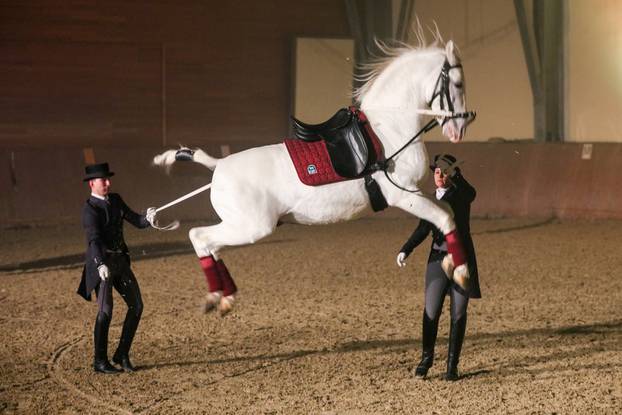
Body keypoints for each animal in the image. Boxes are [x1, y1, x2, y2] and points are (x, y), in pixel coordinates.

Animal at [155, 40, 472, 316]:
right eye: (457, 84)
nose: (460, 129)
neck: (389, 129)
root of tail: (218, 165)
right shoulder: (403, 195)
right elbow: (446, 218)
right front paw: (460, 271)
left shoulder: (413, 193)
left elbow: (443, 216)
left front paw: (448, 262)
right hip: (252, 227)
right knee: (199, 237)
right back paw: (214, 296)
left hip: (240, 226)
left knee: (211, 246)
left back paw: (226, 298)